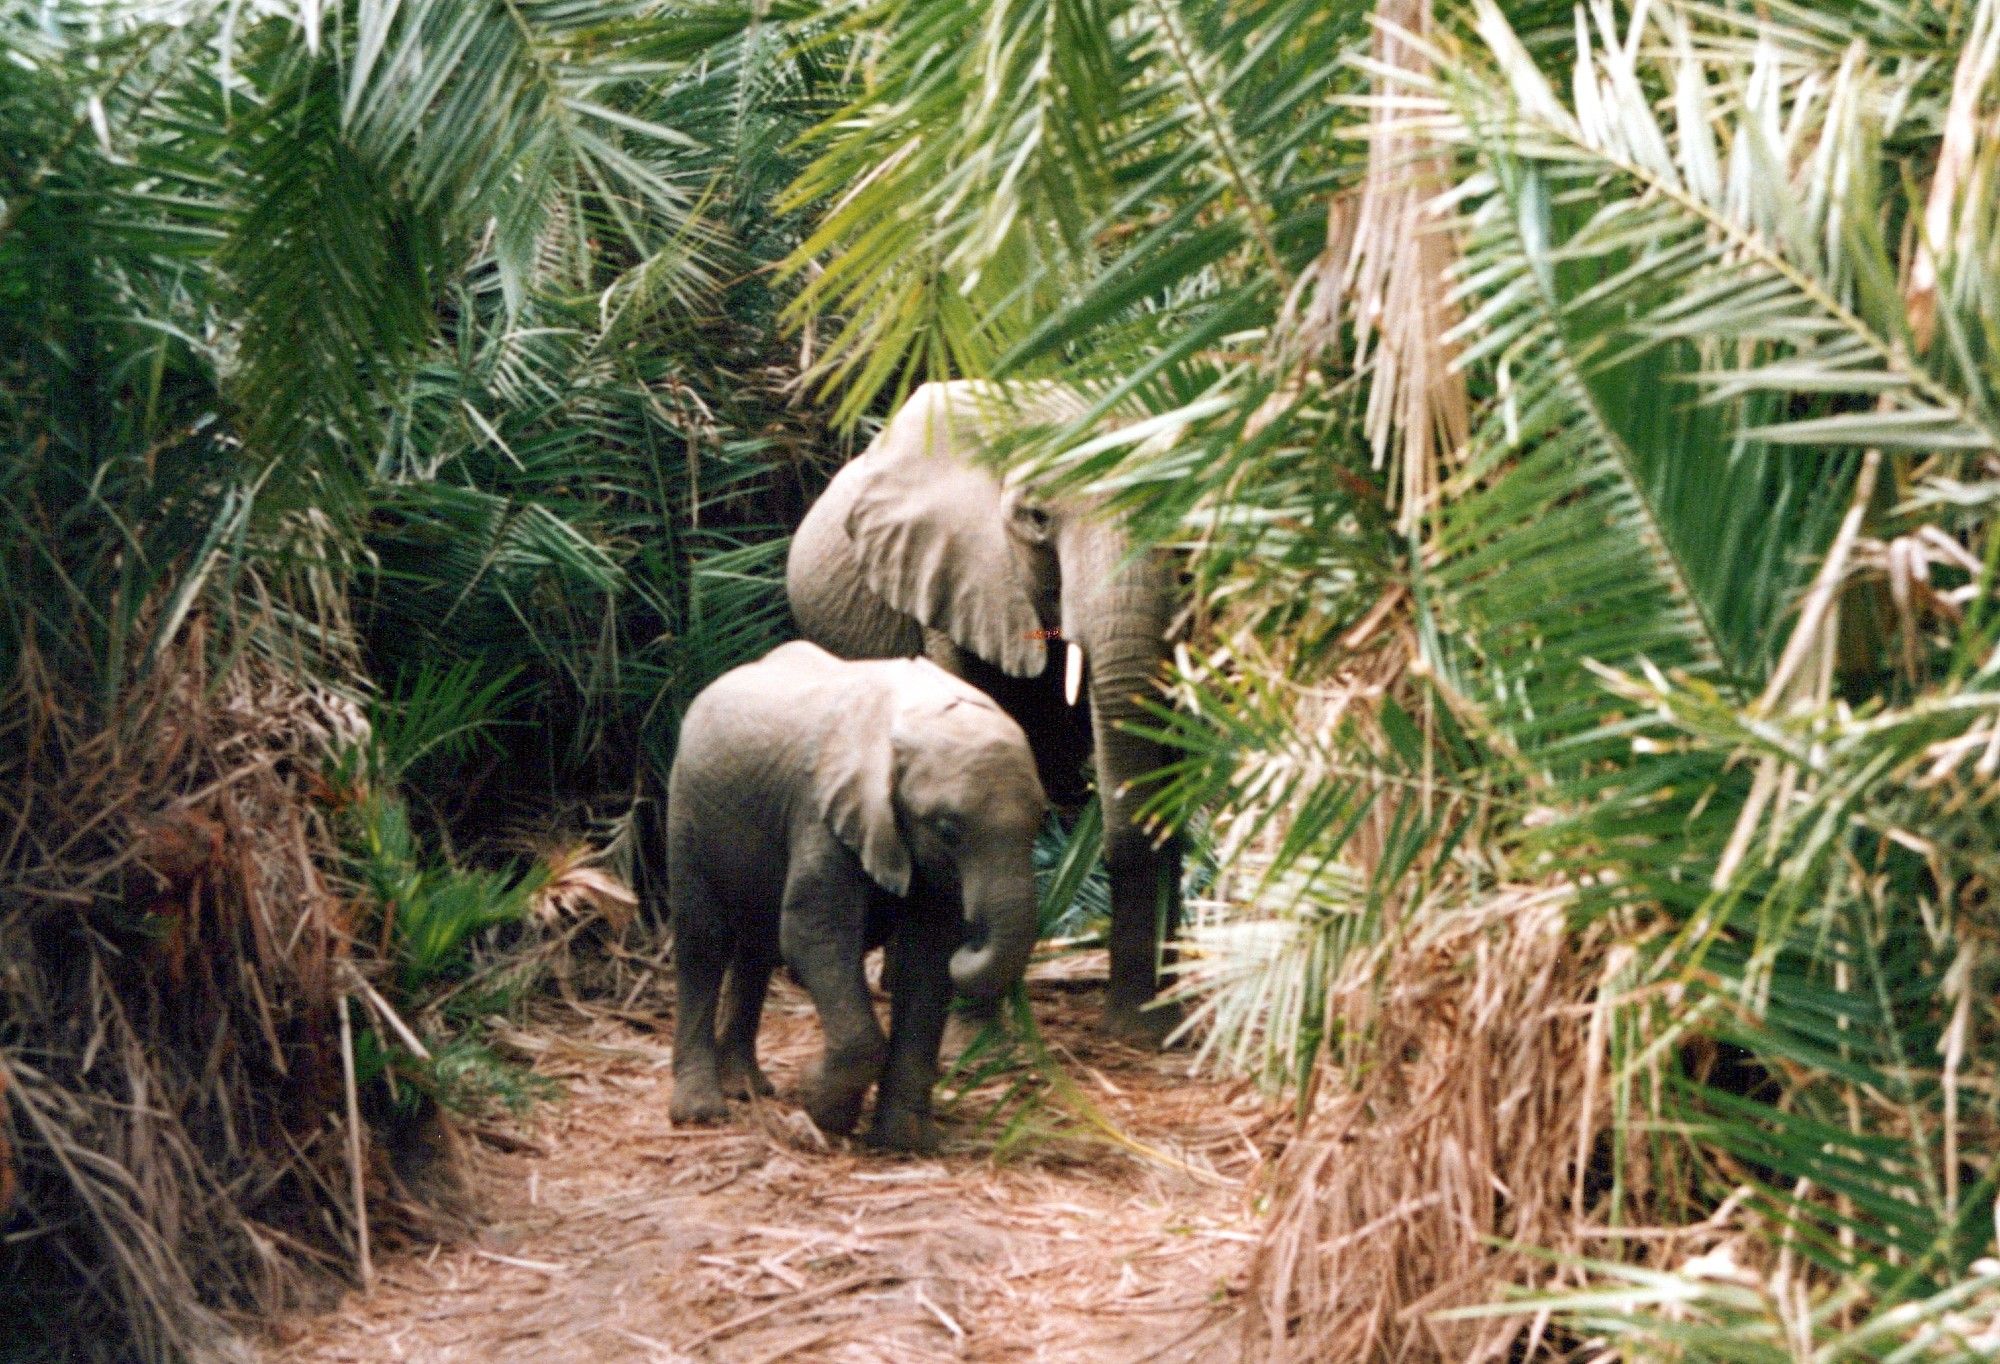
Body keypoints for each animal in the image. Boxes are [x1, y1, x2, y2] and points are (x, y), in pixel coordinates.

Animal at [668, 636, 1048, 1144]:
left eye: (1042, 822)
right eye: (948, 830)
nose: (973, 938)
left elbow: (927, 959)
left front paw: (904, 1142)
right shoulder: (821, 810)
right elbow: (815, 936)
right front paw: (820, 1107)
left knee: (756, 949)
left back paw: (748, 1090)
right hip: (687, 805)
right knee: (703, 942)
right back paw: (701, 1113)